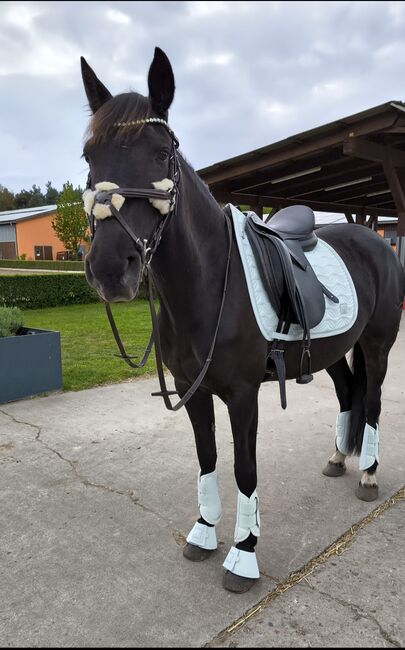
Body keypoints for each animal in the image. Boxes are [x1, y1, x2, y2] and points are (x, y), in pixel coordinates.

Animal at [80, 46, 402, 592]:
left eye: (161, 153)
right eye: (89, 156)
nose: (109, 269)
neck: (209, 287)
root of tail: (375, 239)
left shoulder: (243, 394)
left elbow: (244, 468)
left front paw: (244, 555)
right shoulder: (193, 392)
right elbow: (208, 459)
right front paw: (204, 532)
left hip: (377, 346)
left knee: (374, 401)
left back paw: (368, 474)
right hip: (333, 351)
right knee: (347, 393)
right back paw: (339, 458)